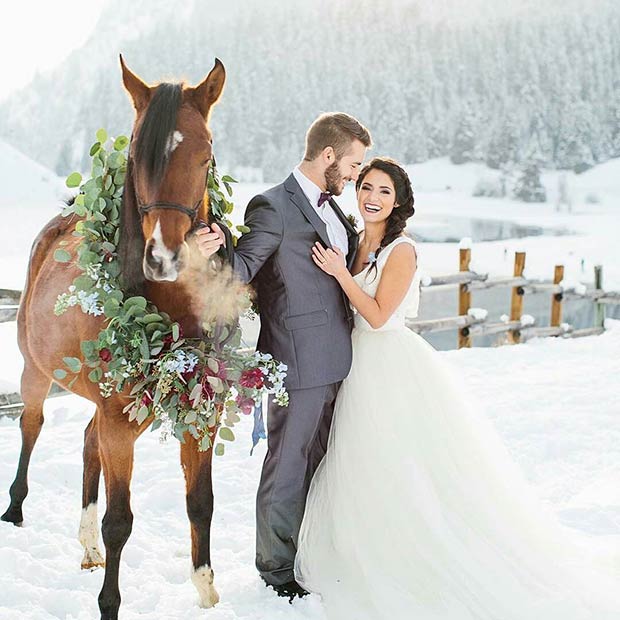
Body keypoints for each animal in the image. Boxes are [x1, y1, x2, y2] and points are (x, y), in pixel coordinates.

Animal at [0, 57, 228, 620]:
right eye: (136, 151)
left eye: (205, 153)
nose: (163, 258)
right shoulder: (119, 424)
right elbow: (120, 521)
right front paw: (109, 604)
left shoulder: (197, 413)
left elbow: (201, 503)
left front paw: (205, 587)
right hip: (38, 374)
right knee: (32, 426)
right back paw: (15, 508)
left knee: (87, 443)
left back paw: (86, 546)